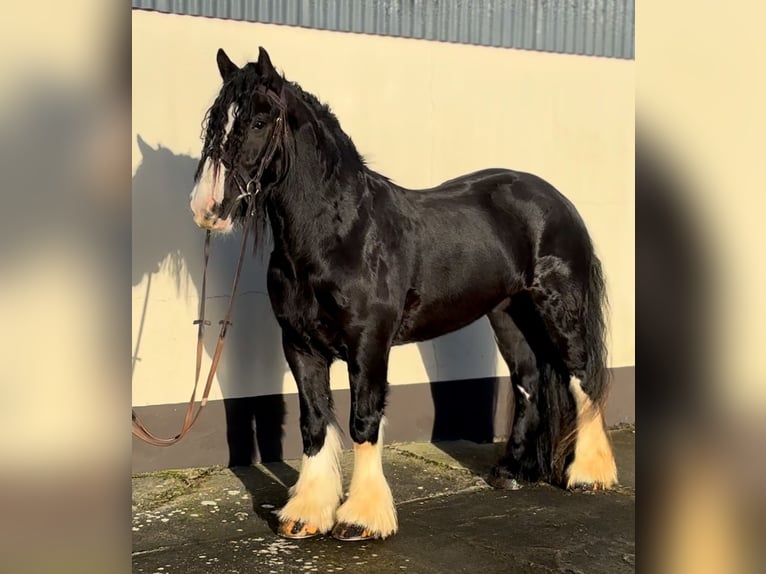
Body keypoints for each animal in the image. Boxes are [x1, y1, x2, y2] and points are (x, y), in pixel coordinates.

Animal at [190, 47, 616, 544]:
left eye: (259, 121)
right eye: (213, 123)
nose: (207, 207)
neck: (339, 233)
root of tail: (557, 200)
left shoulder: (369, 344)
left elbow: (363, 419)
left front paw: (360, 518)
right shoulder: (299, 345)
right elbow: (313, 422)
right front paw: (305, 514)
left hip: (557, 310)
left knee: (581, 377)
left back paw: (589, 475)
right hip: (509, 315)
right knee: (528, 381)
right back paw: (512, 472)